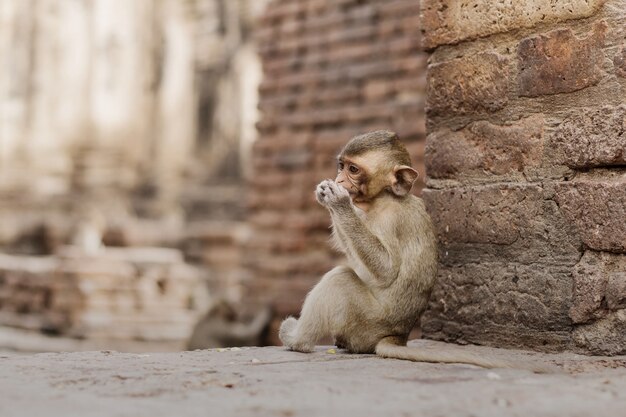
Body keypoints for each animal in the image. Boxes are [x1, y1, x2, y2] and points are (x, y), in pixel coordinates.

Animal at [280, 130, 552, 370]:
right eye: (341, 166)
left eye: (353, 170)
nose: (338, 181)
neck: (383, 198)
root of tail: (397, 335)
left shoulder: (392, 220)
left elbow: (386, 270)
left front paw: (339, 203)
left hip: (365, 322)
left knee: (339, 280)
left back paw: (297, 340)